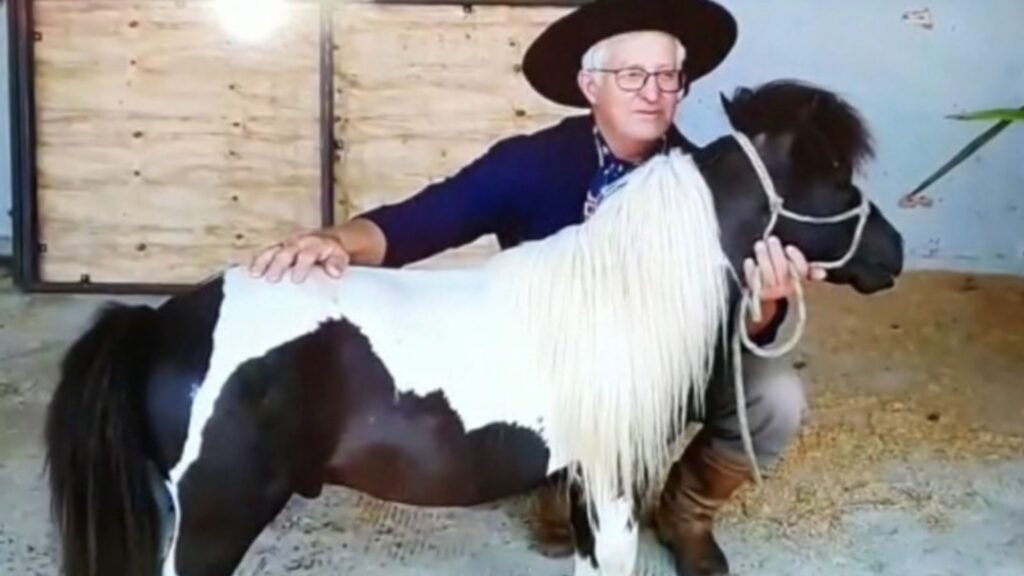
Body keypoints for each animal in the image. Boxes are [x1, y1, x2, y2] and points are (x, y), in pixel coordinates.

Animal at [44, 80, 901, 573]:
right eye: (831, 174)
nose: (891, 253)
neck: (621, 295)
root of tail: (158, 325)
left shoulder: (589, 489)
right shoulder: (613, 488)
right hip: (213, 524)